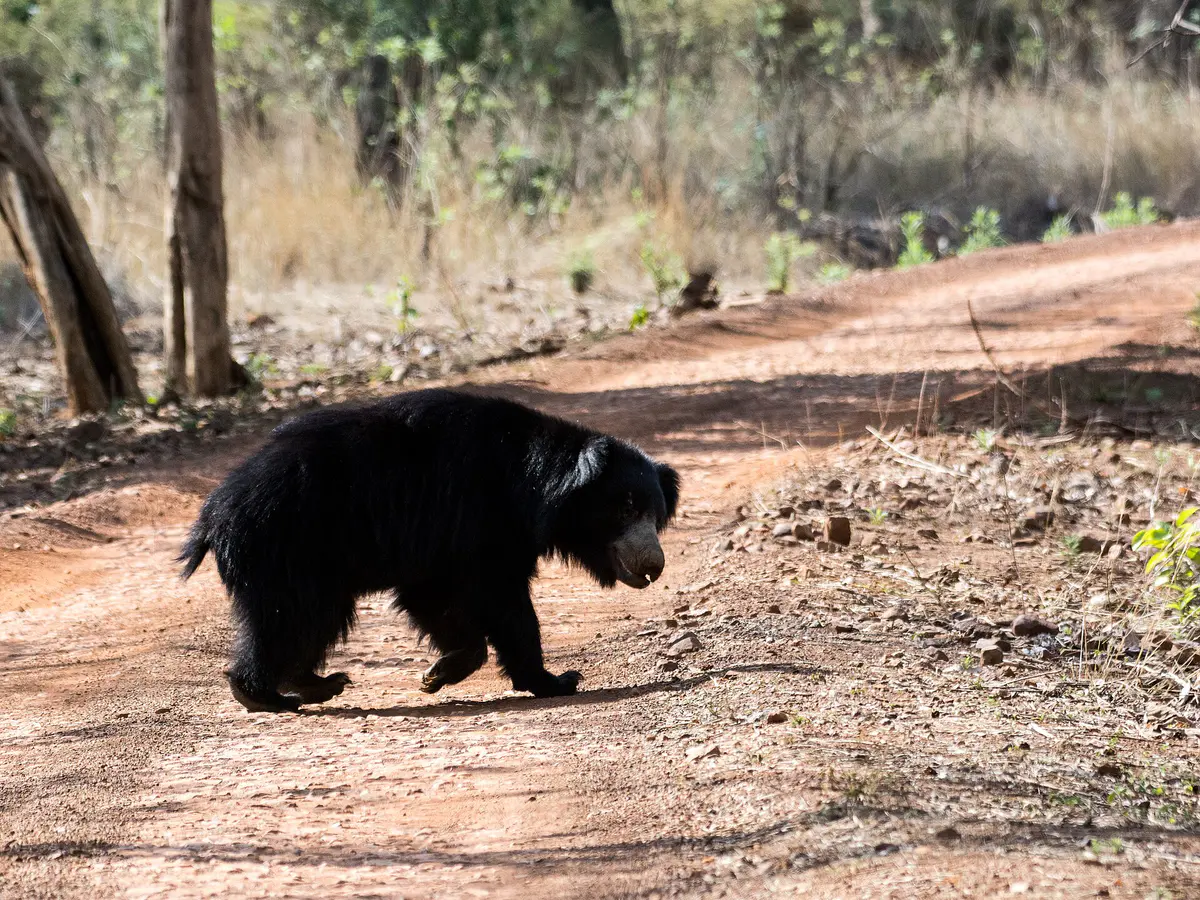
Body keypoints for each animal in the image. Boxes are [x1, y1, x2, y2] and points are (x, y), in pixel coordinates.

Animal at [179, 388, 680, 713]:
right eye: (625, 509)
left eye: (655, 516)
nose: (653, 566)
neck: (537, 488)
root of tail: (213, 516)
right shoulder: (480, 519)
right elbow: (504, 602)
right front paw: (557, 680)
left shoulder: (436, 547)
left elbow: (432, 598)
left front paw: (439, 671)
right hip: (287, 545)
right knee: (292, 617)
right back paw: (267, 696)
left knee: (311, 620)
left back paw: (316, 685)